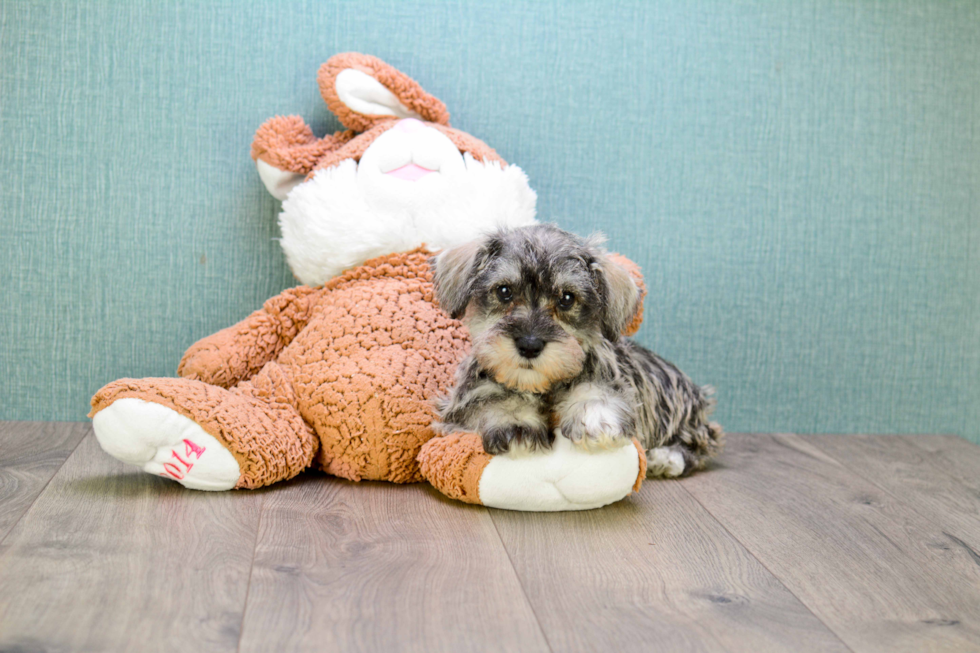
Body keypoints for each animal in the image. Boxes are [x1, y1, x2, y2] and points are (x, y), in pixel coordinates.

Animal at [432, 223, 724, 474]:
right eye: (504, 291)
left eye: (567, 298)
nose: (529, 345)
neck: (541, 386)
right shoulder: (464, 403)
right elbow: (494, 400)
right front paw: (516, 424)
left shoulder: (609, 376)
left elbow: (595, 389)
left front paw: (596, 418)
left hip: (687, 422)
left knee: (700, 444)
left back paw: (666, 458)